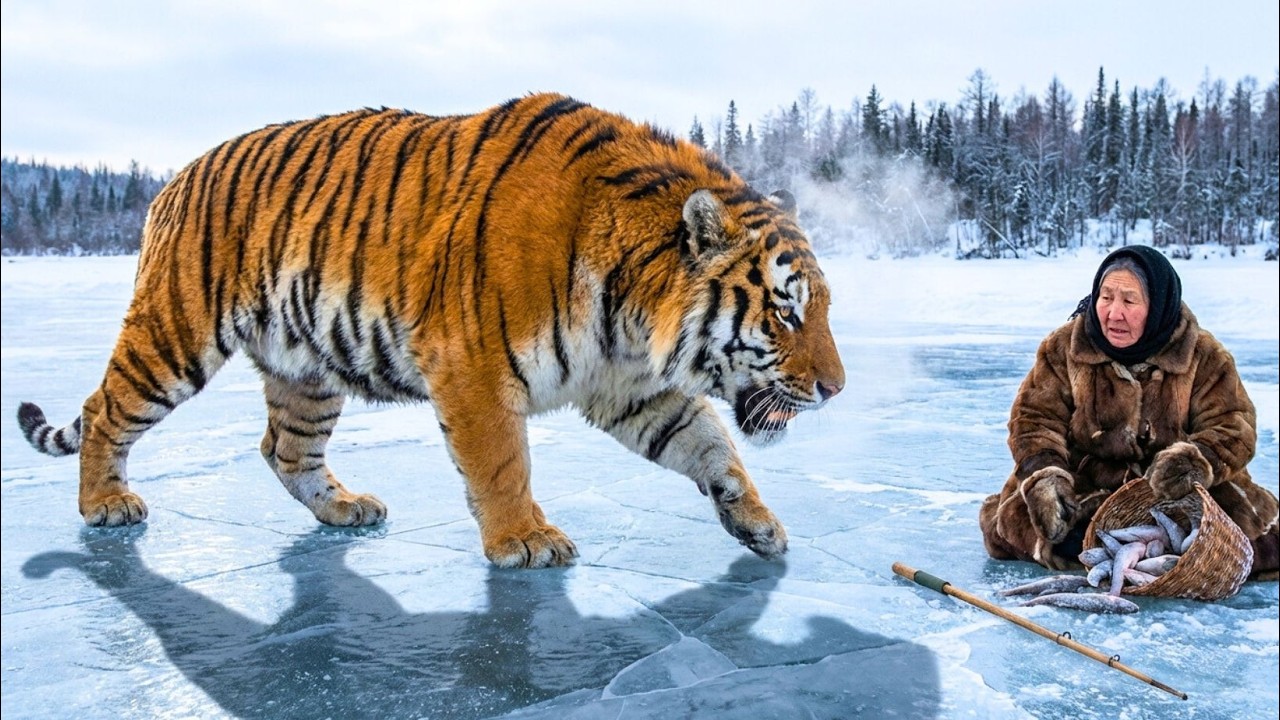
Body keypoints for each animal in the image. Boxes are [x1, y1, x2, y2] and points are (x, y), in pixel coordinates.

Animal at [17, 92, 845, 568]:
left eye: (823, 308)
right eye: (786, 310)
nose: (836, 389)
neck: (633, 311)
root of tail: (173, 180)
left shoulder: (633, 386)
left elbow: (713, 448)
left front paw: (760, 525)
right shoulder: (473, 367)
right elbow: (503, 465)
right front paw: (525, 541)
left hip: (307, 371)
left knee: (284, 448)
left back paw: (345, 509)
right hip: (175, 336)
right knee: (104, 410)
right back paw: (104, 504)